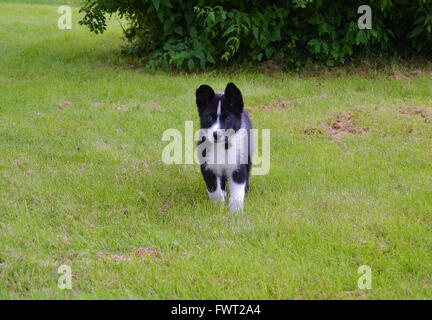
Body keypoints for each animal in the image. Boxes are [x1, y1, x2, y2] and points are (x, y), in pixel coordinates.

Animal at [196, 82, 253, 212]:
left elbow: (237, 191)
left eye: (228, 118)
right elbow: (214, 189)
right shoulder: (208, 167)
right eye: (209, 118)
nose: (216, 135)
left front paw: (235, 211)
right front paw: (217, 206)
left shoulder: (237, 165)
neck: (222, 147)